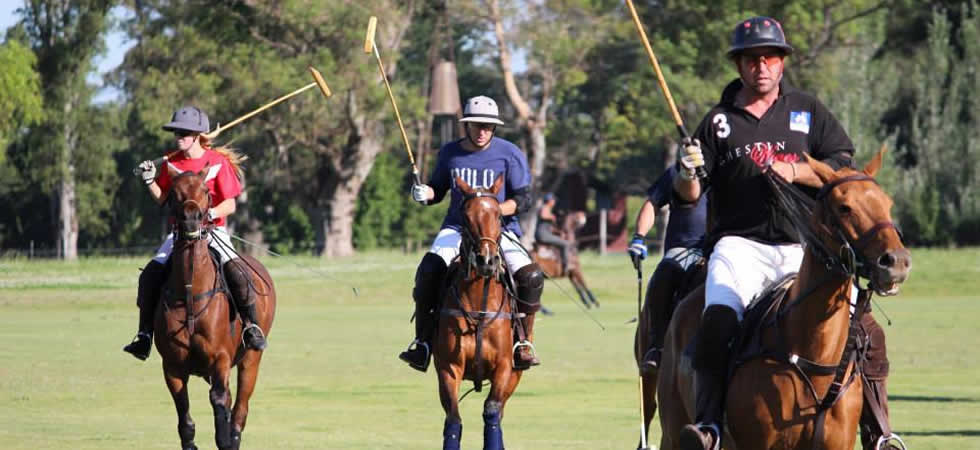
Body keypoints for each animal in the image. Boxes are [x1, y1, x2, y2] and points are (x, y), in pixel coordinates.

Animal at [155, 169, 276, 450]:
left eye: (206, 191)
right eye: (174, 192)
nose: (190, 219)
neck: (190, 292)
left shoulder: (220, 358)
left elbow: (219, 398)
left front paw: (225, 439)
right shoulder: (171, 366)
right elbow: (184, 415)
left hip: (251, 360)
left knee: (240, 407)